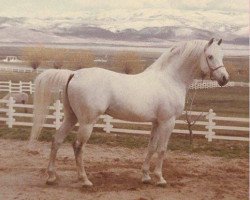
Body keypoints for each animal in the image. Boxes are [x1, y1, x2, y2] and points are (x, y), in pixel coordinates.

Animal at [28, 38, 229, 187]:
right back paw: (84, 180)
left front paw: (146, 176)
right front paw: (160, 178)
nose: (225, 79)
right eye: (210, 56)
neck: (169, 79)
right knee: (78, 146)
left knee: (57, 140)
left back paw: (52, 177)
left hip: (72, 117)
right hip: (86, 122)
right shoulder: (167, 122)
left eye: (222, 56)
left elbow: (151, 147)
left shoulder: (156, 122)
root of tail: (73, 74)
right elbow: (162, 149)